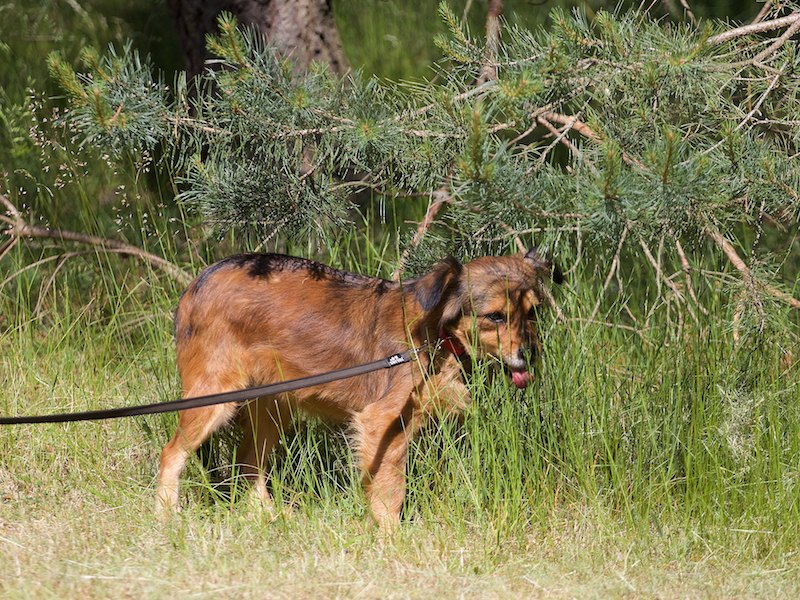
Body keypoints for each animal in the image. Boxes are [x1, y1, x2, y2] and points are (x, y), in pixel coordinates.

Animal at [156, 249, 562, 530]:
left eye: (533, 313)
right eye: (495, 317)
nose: (531, 354)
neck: (435, 333)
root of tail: (201, 280)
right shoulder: (379, 422)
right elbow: (390, 489)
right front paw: (391, 539)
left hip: (272, 407)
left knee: (248, 463)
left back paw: (272, 516)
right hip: (213, 400)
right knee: (172, 453)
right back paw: (166, 514)